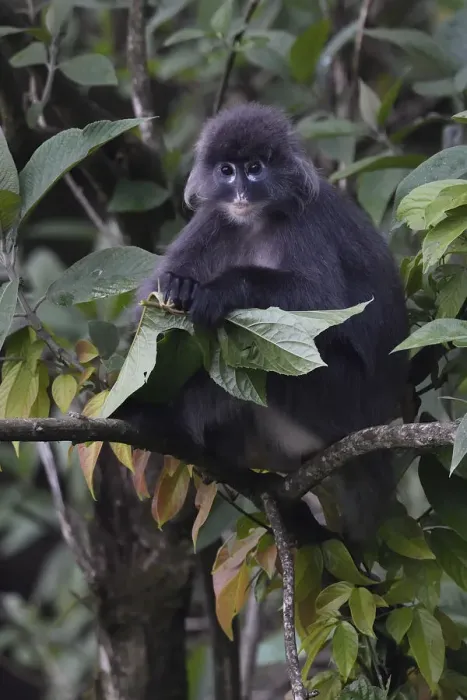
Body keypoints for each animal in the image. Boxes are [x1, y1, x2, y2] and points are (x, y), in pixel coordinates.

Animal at [127, 102, 409, 545]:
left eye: (255, 168)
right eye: (227, 170)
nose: (241, 192)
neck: (257, 220)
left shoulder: (306, 220)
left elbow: (321, 301)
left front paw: (218, 290)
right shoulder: (215, 218)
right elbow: (151, 298)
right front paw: (180, 286)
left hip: (339, 401)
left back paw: (166, 421)